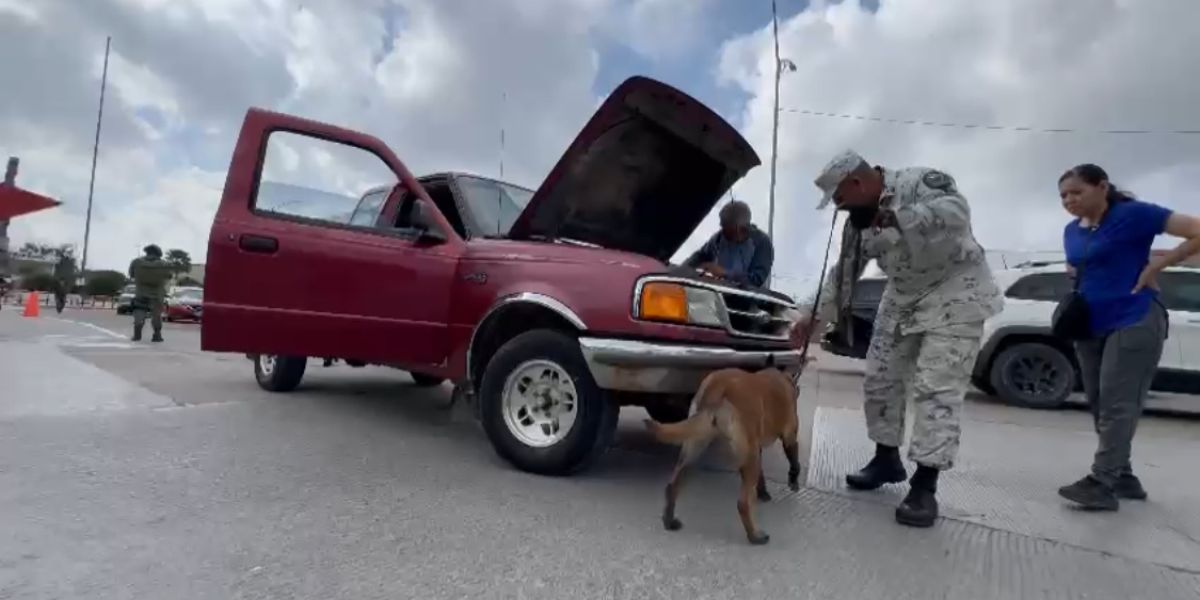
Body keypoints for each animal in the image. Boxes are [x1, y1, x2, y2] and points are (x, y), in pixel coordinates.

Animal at [643, 364, 801, 544]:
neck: (784, 379)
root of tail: (718, 384)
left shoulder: (758, 446)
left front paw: (763, 492)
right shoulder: (789, 437)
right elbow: (795, 462)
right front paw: (793, 482)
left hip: (695, 445)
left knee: (673, 485)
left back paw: (669, 520)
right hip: (749, 455)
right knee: (742, 503)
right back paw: (755, 535)